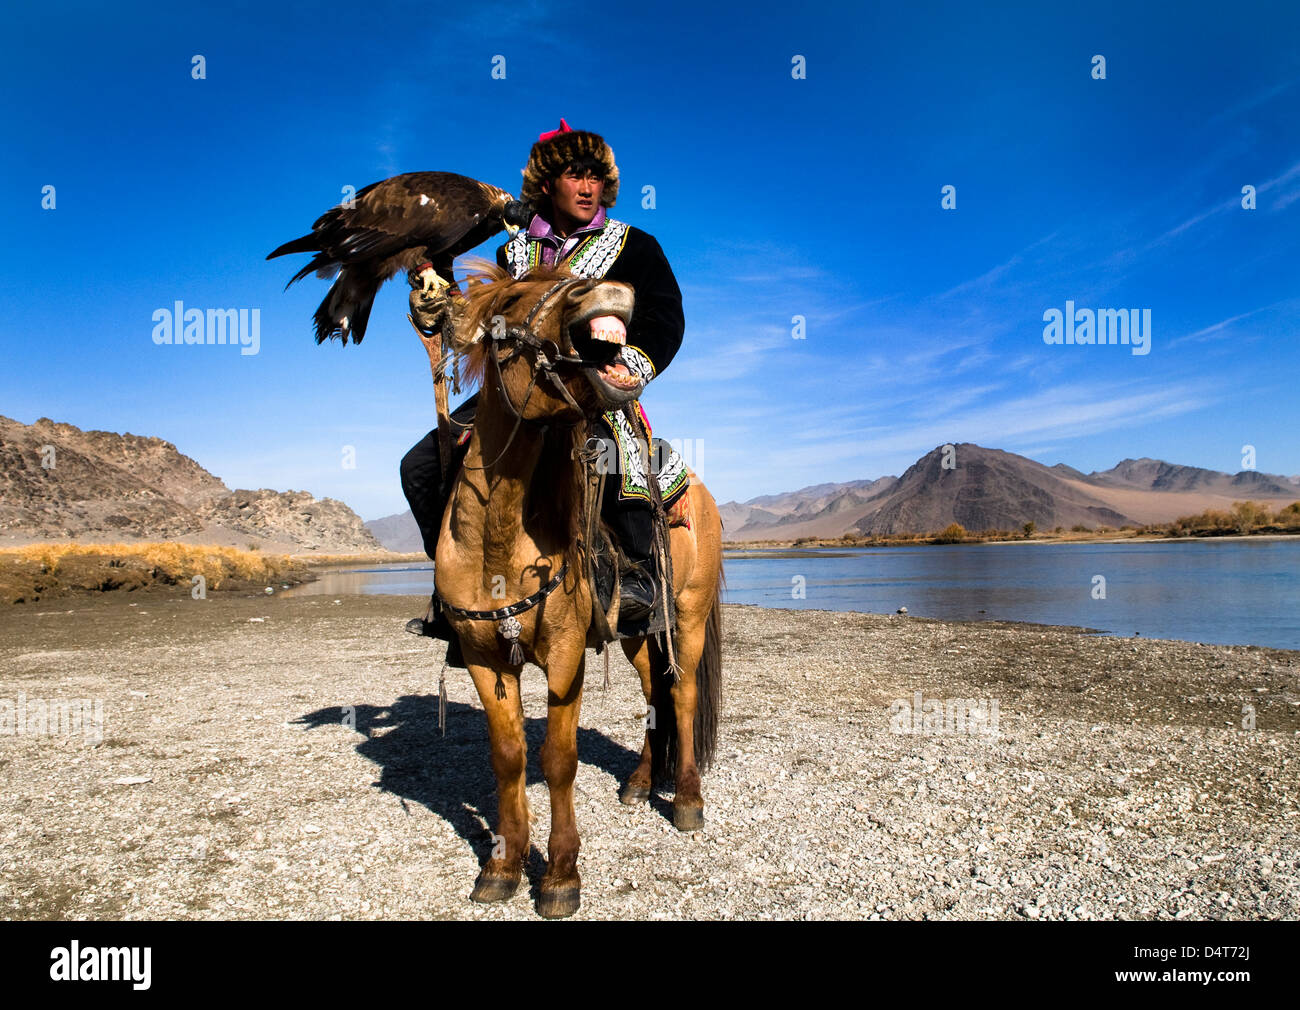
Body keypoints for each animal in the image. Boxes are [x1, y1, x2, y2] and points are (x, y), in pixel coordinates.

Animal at [434, 263, 722, 920]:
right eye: (515, 295)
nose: (611, 293)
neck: (498, 537)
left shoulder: (565, 655)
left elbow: (557, 760)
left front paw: (561, 875)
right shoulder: (483, 657)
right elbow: (508, 757)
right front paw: (503, 867)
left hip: (687, 618)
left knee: (683, 695)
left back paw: (686, 801)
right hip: (639, 632)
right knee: (654, 694)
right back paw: (641, 783)